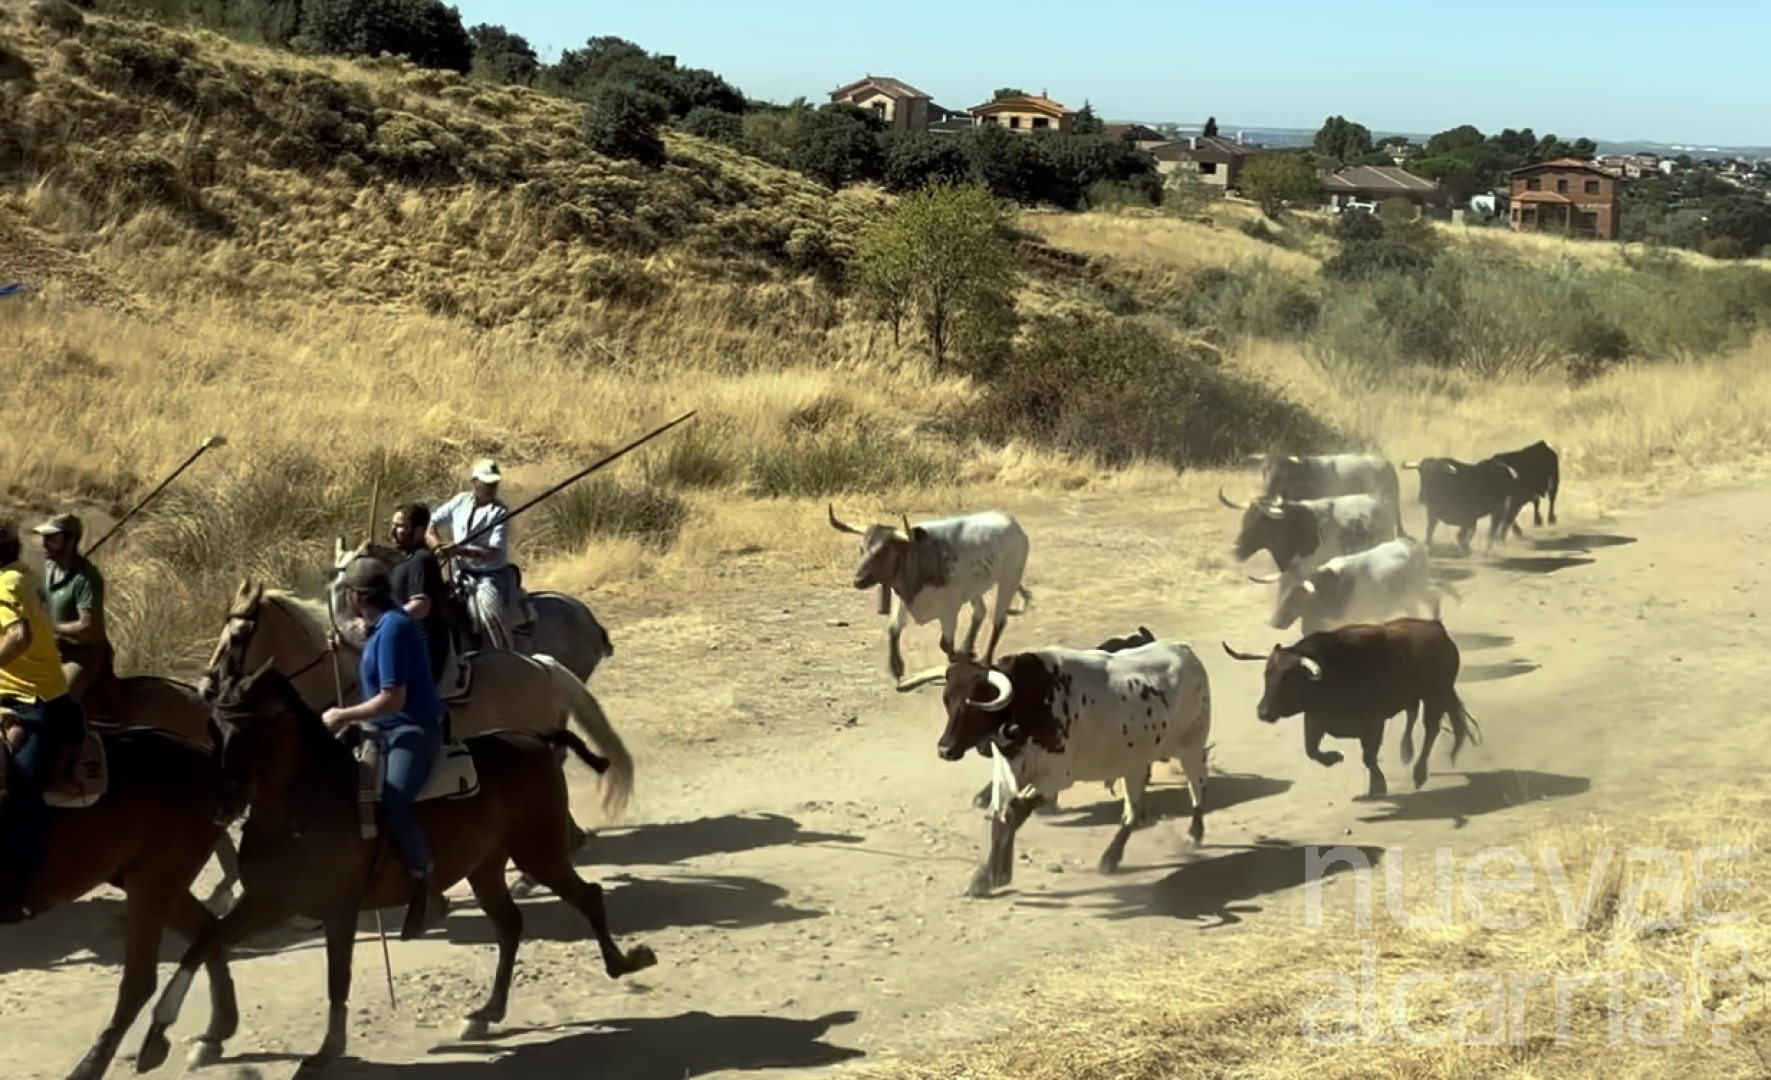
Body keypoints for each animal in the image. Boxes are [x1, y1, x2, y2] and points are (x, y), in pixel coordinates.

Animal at [0, 711, 242, 1069]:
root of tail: (204, 760)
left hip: (152, 884)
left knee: (140, 981)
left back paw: (91, 1065)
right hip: (155, 883)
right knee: (207, 931)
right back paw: (214, 1036)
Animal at [132, 658, 658, 1069]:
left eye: (251, 729)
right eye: (213, 728)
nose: (219, 804)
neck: (308, 803)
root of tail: (534, 739)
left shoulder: (338, 910)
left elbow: (337, 976)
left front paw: (327, 1049)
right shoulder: (267, 902)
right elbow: (202, 944)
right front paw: (165, 1039)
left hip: (538, 851)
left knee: (586, 896)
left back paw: (624, 962)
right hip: (485, 867)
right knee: (510, 925)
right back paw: (485, 1014)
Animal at [832, 499, 1034, 676]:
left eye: (884, 551)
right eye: (861, 549)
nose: (858, 580)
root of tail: (1012, 523)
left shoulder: (950, 610)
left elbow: (945, 644)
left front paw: (957, 659)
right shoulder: (902, 599)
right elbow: (893, 630)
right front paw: (896, 667)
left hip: (1009, 579)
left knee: (998, 620)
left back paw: (985, 659)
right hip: (975, 589)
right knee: (980, 612)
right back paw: (967, 648)